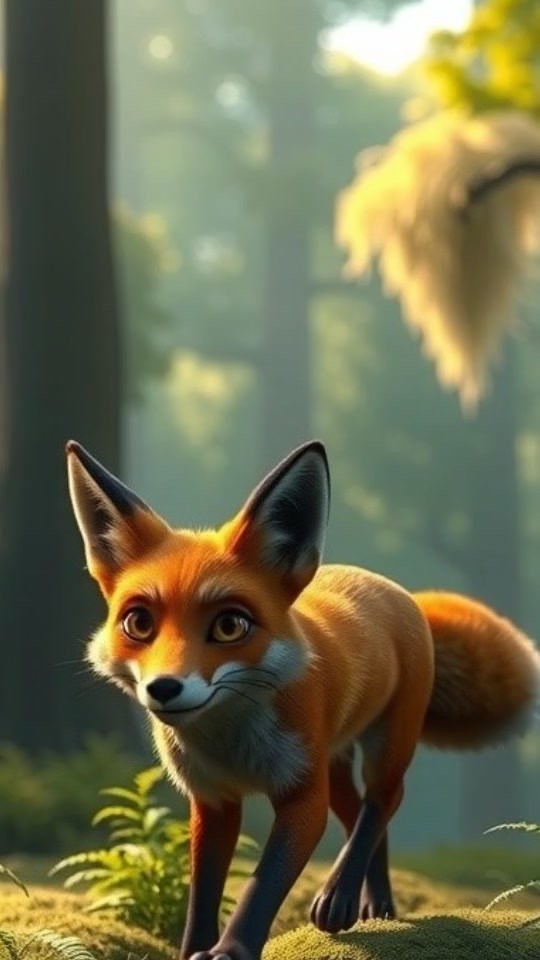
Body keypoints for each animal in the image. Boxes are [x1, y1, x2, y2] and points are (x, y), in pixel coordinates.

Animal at [66, 438, 540, 960]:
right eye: (138, 623)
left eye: (229, 625)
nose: (164, 688)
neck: (231, 744)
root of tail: (397, 590)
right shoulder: (213, 800)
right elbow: (204, 891)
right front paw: (194, 950)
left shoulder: (302, 797)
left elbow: (262, 885)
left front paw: (232, 950)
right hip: (333, 763)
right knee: (362, 815)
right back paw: (376, 904)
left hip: (385, 743)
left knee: (384, 800)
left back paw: (341, 898)